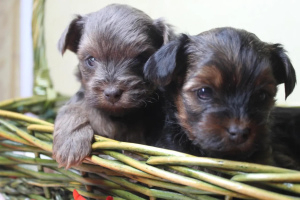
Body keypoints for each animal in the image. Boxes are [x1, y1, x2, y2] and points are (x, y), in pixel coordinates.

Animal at [53, 3, 175, 168]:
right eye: (91, 60)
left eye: (141, 59)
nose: (112, 93)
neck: (116, 115)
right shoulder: (81, 98)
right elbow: (73, 108)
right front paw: (70, 142)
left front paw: (135, 153)